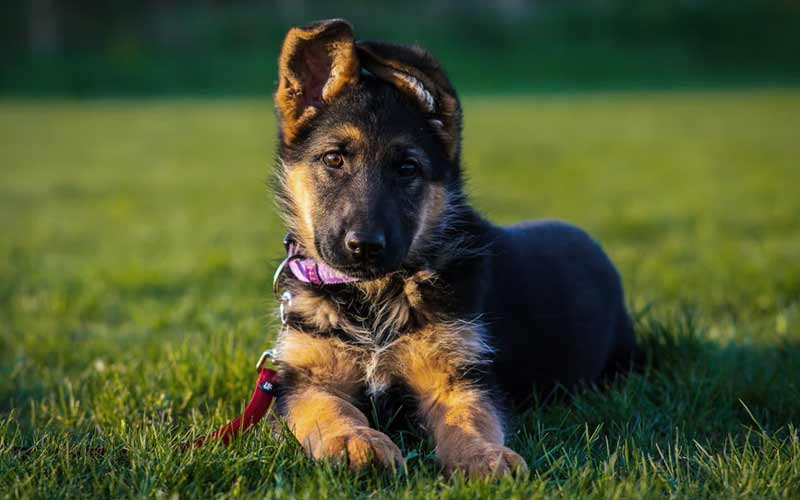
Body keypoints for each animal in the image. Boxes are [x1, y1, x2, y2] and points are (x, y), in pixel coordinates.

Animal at [272, 19, 640, 478]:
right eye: (334, 159)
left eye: (407, 168)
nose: (364, 247)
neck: (374, 298)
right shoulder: (306, 380)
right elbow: (331, 411)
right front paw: (356, 441)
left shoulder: (458, 373)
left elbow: (468, 418)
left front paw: (482, 455)